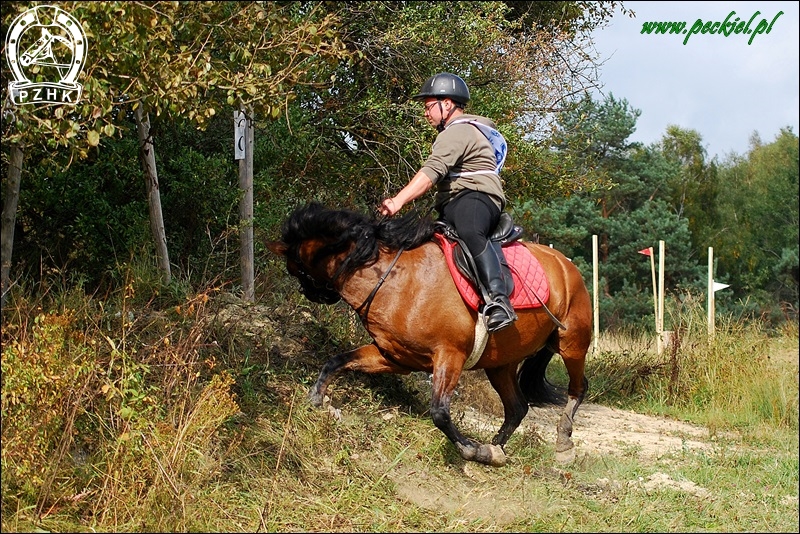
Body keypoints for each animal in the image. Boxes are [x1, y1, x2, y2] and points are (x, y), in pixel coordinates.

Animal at [266, 203, 592, 466]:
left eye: (296, 269)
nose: (310, 295)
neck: (394, 280)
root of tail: (566, 265)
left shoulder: (450, 355)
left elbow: (440, 412)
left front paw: (470, 449)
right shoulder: (395, 358)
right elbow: (338, 360)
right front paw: (317, 399)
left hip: (572, 344)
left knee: (578, 388)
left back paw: (563, 444)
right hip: (501, 364)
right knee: (517, 408)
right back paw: (495, 450)